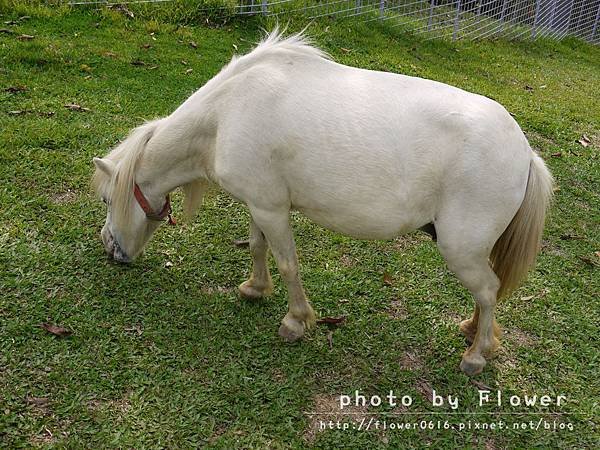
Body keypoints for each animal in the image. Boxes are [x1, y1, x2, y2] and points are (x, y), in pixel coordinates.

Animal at [92, 29, 552, 376]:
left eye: (106, 198)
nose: (110, 248)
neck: (226, 114)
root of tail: (525, 152)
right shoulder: (260, 203)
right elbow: (258, 248)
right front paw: (254, 289)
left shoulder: (272, 210)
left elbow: (288, 263)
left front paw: (296, 322)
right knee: (486, 293)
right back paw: (474, 332)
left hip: (460, 248)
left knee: (488, 289)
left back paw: (476, 355)